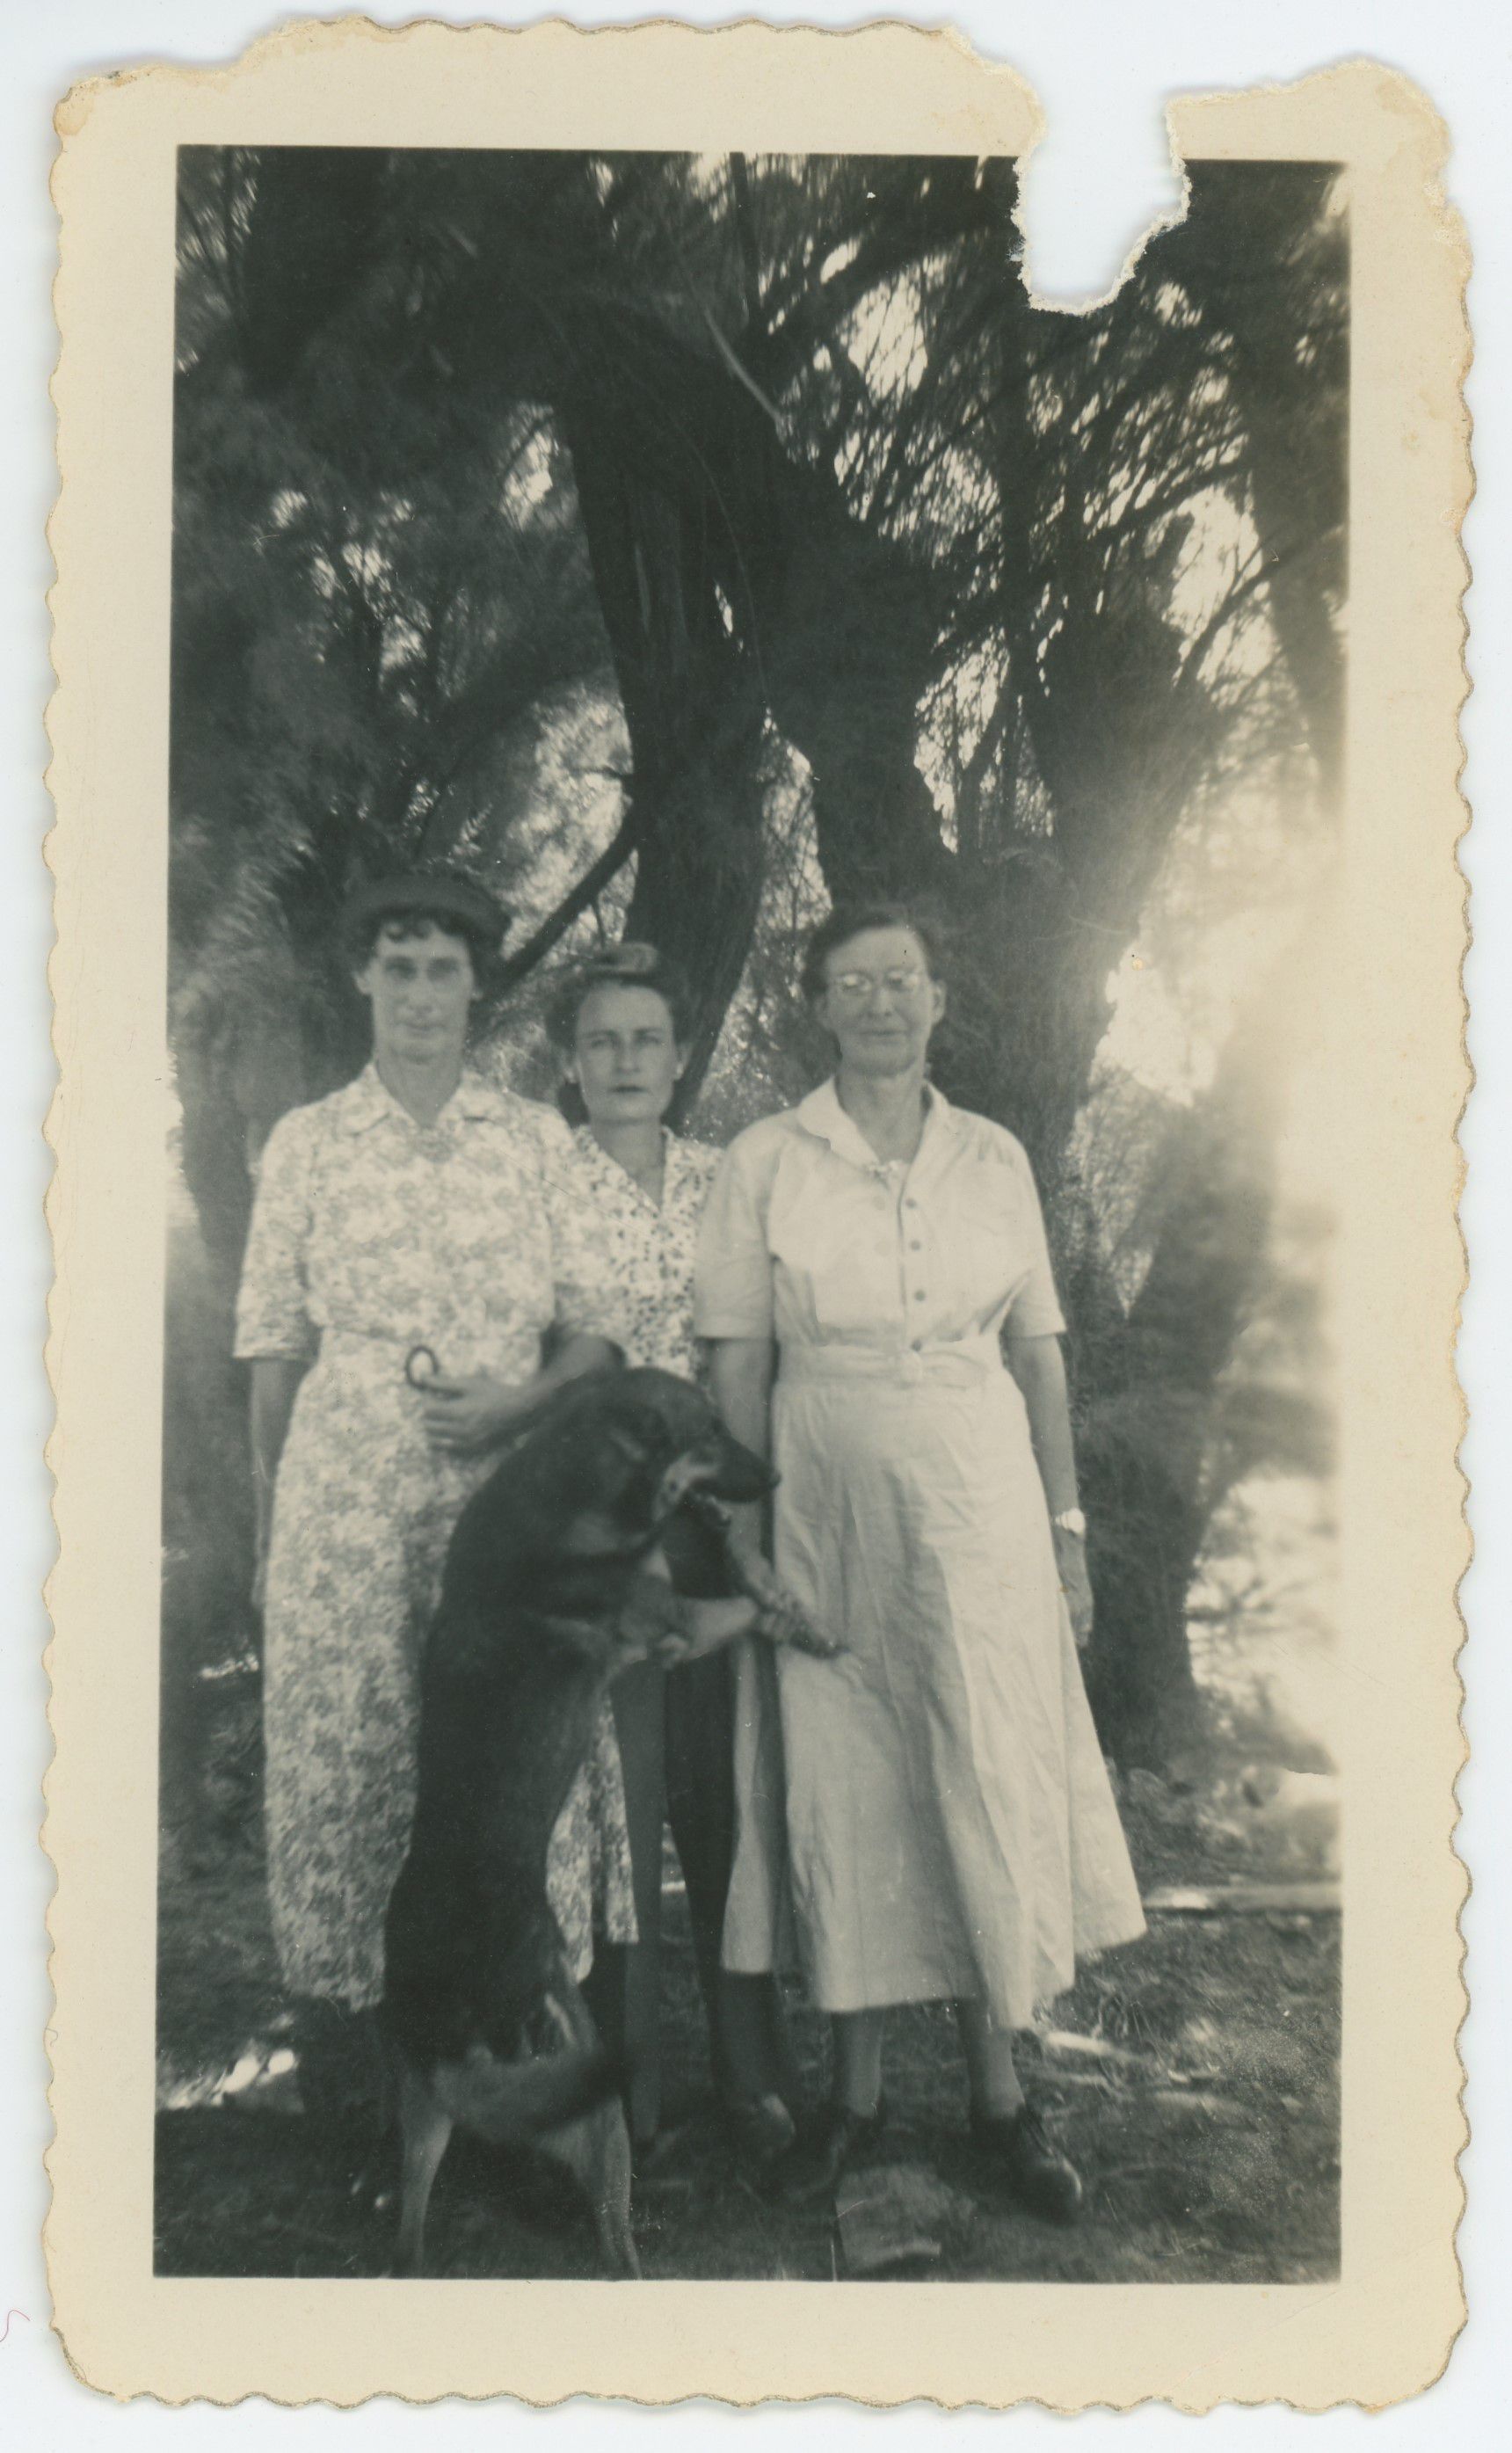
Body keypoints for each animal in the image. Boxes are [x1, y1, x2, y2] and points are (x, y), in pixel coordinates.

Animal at [381, 1365, 829, 2278]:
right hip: (590, 2098)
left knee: (408, 2241)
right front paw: (797, 1617)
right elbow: (741, 1609)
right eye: (710, 1432)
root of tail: (455, 2020)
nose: (771, 1479)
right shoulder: (676, 1625)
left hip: (425, 2114)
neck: (583, 1484)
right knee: (613, 2234)